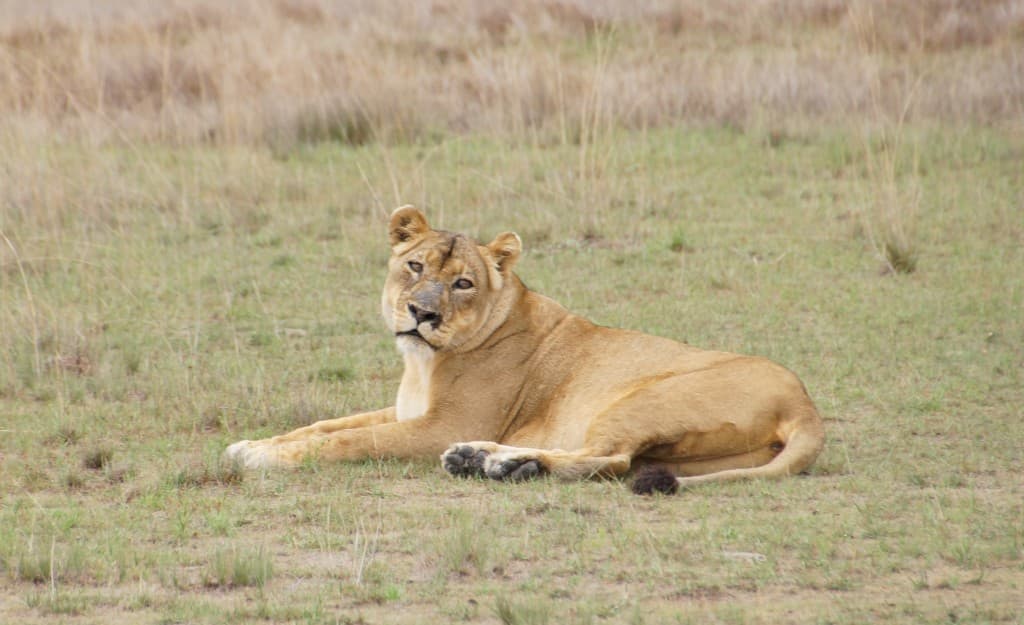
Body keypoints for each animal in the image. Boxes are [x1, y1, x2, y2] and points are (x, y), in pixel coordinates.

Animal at [225, 206, 824, 493]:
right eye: (414, 265)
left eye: (463, 283)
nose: (422, 314)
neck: (423, 364)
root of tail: (806, 406)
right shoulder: (406, 411)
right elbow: (325, 425)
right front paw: (252, 443)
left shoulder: (438, 426)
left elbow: (351, 441)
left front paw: (264, 458)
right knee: (617, 462)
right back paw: (489, 462)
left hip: (641, 399)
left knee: (611, 458)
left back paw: (494, 463)